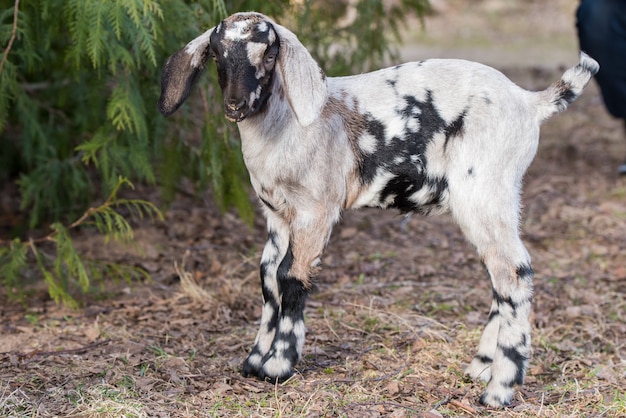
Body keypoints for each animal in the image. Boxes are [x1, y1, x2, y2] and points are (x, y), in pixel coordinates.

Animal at [158, 11, 596, 406]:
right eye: (217, 53)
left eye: (269, 54)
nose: (236, 105)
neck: (286, 126)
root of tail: (529, 103)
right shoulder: (278, 216)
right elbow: (267, 278)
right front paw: (253, 359)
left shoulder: (316, 210)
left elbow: (290, 277)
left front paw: (278, 366)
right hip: (497, 199)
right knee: (501, 276)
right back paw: (481, 367)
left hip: (485, 191)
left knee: (514, 273)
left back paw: (500, 389)